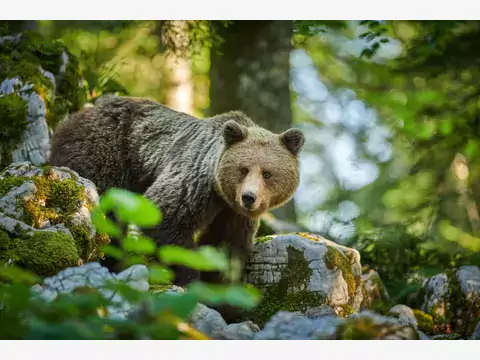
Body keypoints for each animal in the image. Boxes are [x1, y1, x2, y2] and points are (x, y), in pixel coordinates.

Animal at [47, 94, 304, 288]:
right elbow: (166, 217)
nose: (248, 197)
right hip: (103, 155)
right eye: (243, 169)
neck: (220, 194)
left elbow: (226, 246)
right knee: (107, 213)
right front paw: (190, 279)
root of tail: (76, 115)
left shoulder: (232, 213)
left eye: (267, 173)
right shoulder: (194, 181)